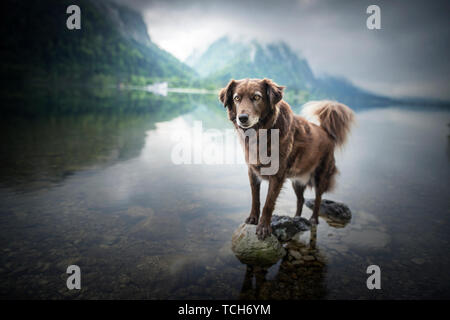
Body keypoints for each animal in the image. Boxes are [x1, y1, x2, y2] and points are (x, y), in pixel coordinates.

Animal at [219, 77, 356, 239]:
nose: (242, 118)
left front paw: (263, 227)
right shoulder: (253, 172)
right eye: (237, 98)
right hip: (297, 181)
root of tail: (326, 131)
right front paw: (253, 218)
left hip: (321, 176)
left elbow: (268, 203)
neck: (262, 133)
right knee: (301, 199)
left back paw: (313, 219)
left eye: (257, 97)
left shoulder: (277, 175)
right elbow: (255, 198)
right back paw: (296, 218)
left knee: (318, 199)